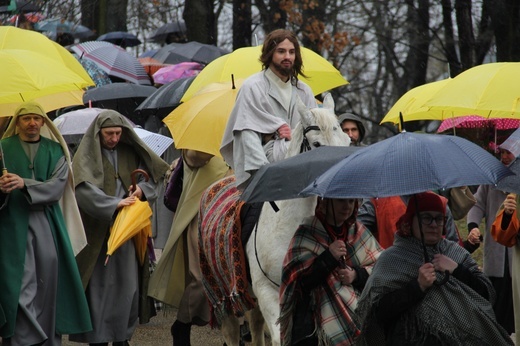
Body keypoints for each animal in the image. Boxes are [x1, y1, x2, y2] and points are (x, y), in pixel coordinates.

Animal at [199, 94, 350, 346]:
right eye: (317, 145)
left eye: (347, 142)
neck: (288, 226)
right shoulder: (268, 291)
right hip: (221, 292)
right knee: (231, 330)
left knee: (255, 326)